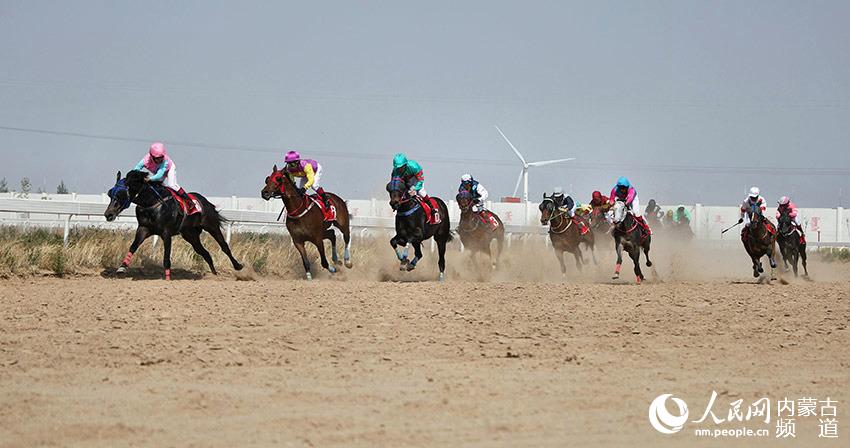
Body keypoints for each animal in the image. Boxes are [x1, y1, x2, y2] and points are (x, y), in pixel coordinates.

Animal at [103, 170, 242, 278]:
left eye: (120, 193)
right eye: (110, 192)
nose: (108, 214)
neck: (152, 203)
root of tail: (207, 202)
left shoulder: (166, 232)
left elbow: (166, 256)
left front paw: (168, 278)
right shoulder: (143, 229)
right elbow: (133, 246)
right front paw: (122, 267)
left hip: (211, 226)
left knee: (224, 246)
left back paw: (238, 266)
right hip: (190, 235)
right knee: (204, 253)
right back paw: (214, 274)